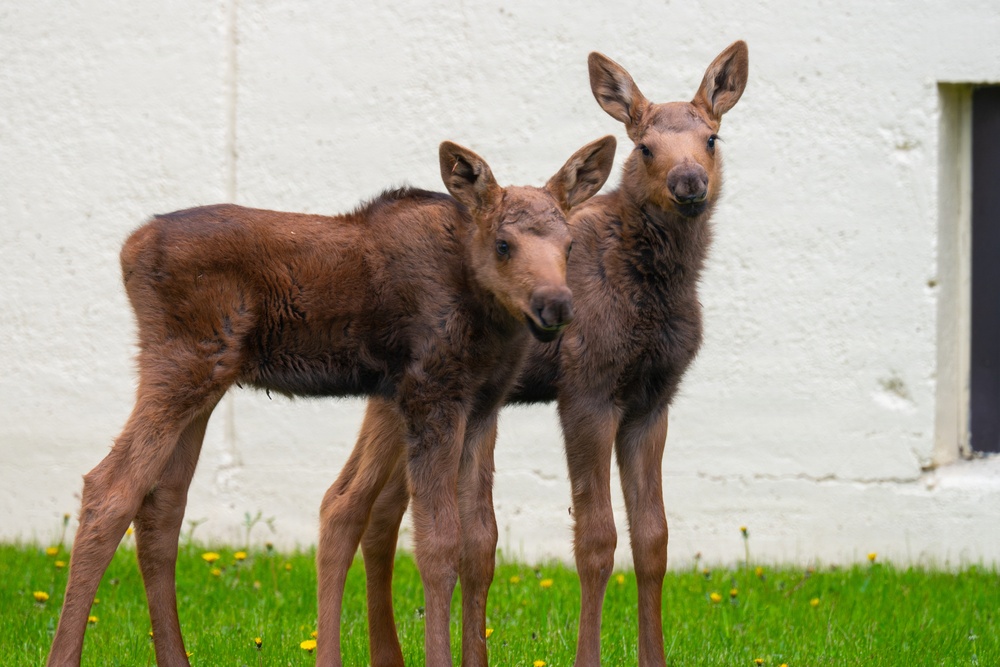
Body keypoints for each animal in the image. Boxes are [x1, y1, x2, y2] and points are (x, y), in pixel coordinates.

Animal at [46, 135, 617, 667]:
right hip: (180, 363)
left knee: (162, 503)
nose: (555, 305)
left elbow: (480, 541)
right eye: (503, 244)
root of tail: (129, 251)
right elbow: (438, 543)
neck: (488, 320)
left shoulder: (482, 406)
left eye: (569, 245)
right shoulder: (431, 394)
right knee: (108, 488)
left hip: (205, 379)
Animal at [339, 41, 749, 667]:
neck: (662, 286)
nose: (688, 182)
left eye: (711, 138)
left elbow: (654, 538)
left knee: (380, 512)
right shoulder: (586, 389)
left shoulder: (653, 399)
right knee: (353, 504)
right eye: (645, 146)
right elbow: (597, 538)